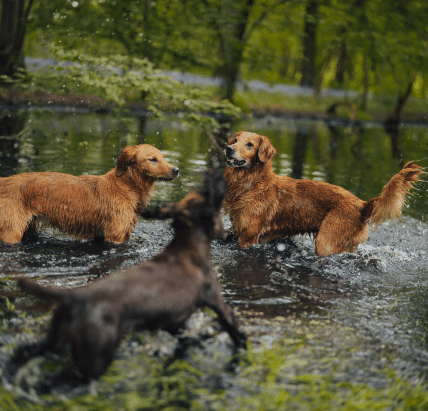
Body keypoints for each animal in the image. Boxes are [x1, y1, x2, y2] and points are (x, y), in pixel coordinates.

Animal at [0, 144, 178, 245]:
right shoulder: (116, 235)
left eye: (163, 157)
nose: (176, 170)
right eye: (152, 159)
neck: (125, 186)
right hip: (12, 232)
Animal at [11, 169, 246, 382]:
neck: (186, 248)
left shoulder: (175, 322)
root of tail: (74, 296)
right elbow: (231, 326)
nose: (218, 177)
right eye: (213, 202)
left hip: (57, 339)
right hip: (96, 354)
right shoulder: (214, 298)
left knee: (27, 353)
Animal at [222, 132, 422, 256]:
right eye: (235, 141)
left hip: (326, 243)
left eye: (249, 144)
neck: (252, 184)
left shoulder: (248, 238)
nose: (228, 149)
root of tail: (362, 204)